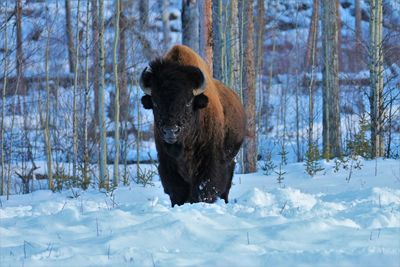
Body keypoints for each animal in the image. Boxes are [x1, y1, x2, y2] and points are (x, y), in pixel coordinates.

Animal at [141, 45, 247, 207]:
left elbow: (204, 187)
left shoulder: (211, 161)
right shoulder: (167, 162)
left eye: (188, 102)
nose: (170, 131)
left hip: (231, 160)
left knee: (226, 186)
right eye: (155, 103)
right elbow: (177, 190)